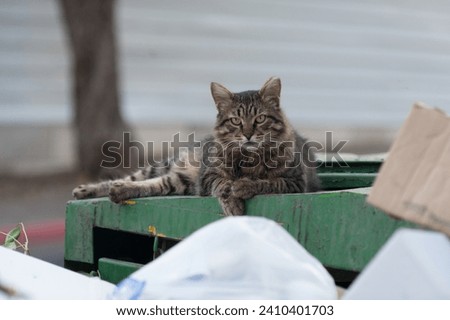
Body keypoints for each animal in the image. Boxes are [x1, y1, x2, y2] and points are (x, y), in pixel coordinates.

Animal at [73, 77, 320, 215]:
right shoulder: (207, 177)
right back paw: (88, 190)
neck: (249, 158)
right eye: (236, 121)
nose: (248, 134)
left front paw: (243, 186)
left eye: (260, 119)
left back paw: (119, 191)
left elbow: (265, 182)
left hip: (178, 181)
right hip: (168, 168)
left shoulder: (295, 182)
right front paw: (233, 201)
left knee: (149, 185)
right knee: (130, 178)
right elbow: (223, 184)